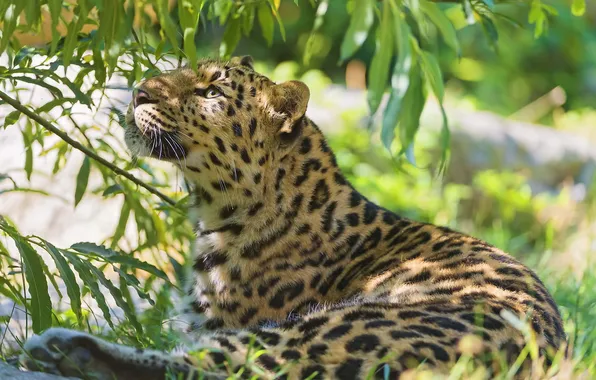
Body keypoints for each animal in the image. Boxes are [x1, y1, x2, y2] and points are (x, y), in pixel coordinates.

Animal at [19, 55, 568, 378]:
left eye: (211, 93)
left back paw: (66, 348)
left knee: (213, 369)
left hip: (324, 327)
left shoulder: (216, 325)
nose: (138, 92)